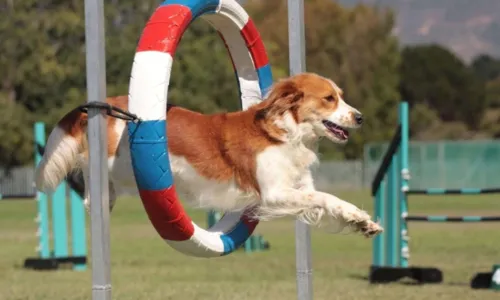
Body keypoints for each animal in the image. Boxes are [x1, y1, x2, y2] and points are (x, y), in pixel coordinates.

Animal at [36, 72, 382, 237]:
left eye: (340, 96)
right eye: (329, 99)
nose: (361, 117)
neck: (285, 132)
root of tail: (106, 103)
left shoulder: (298, 187)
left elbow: (329, 201)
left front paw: (361, 221)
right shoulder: (273, 194)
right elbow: (322, 197)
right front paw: (358, 217)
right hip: (113, 163)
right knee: (90, 185)